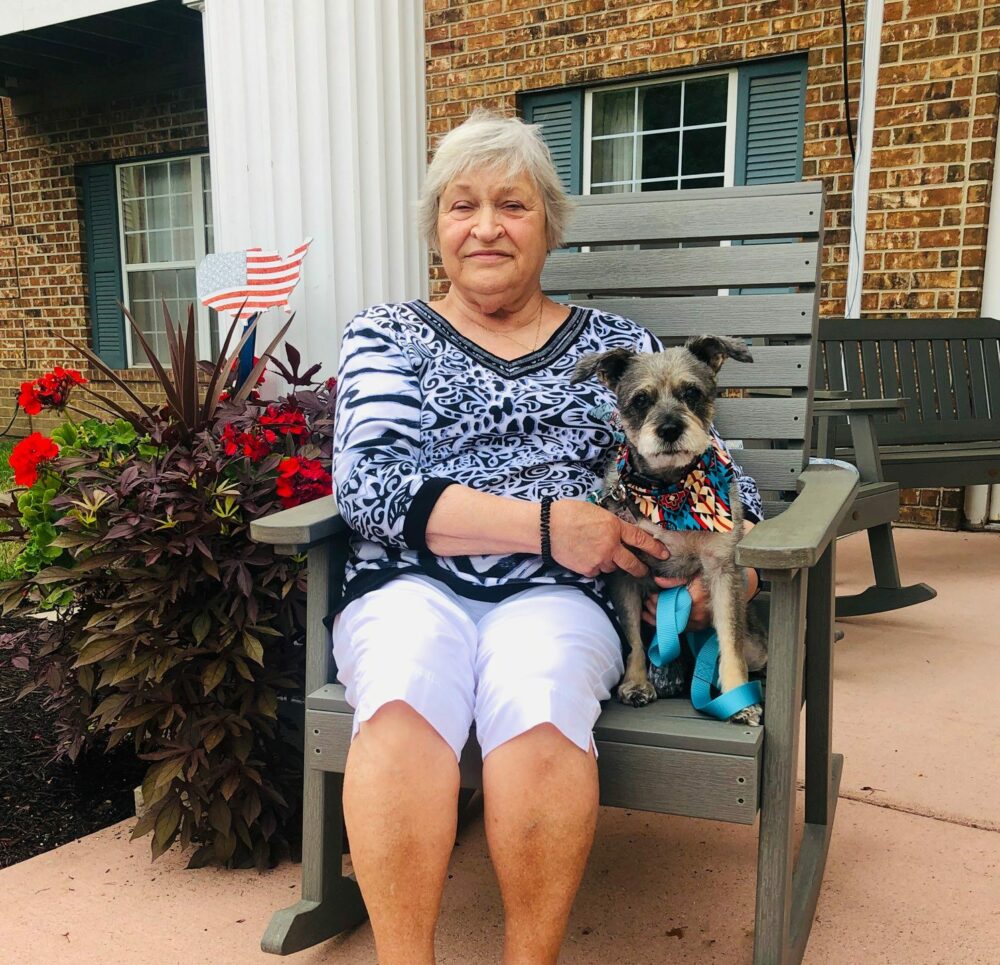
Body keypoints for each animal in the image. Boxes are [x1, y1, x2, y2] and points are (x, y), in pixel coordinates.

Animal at [572, 338, 764, 724]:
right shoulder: (625, 572)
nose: (670, 429)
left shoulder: (723, 572)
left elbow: (730, 642)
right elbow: (632, 638)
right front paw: (635, 684)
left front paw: (739, 698)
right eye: (640, 400)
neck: (669, 490)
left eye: (691, 392)